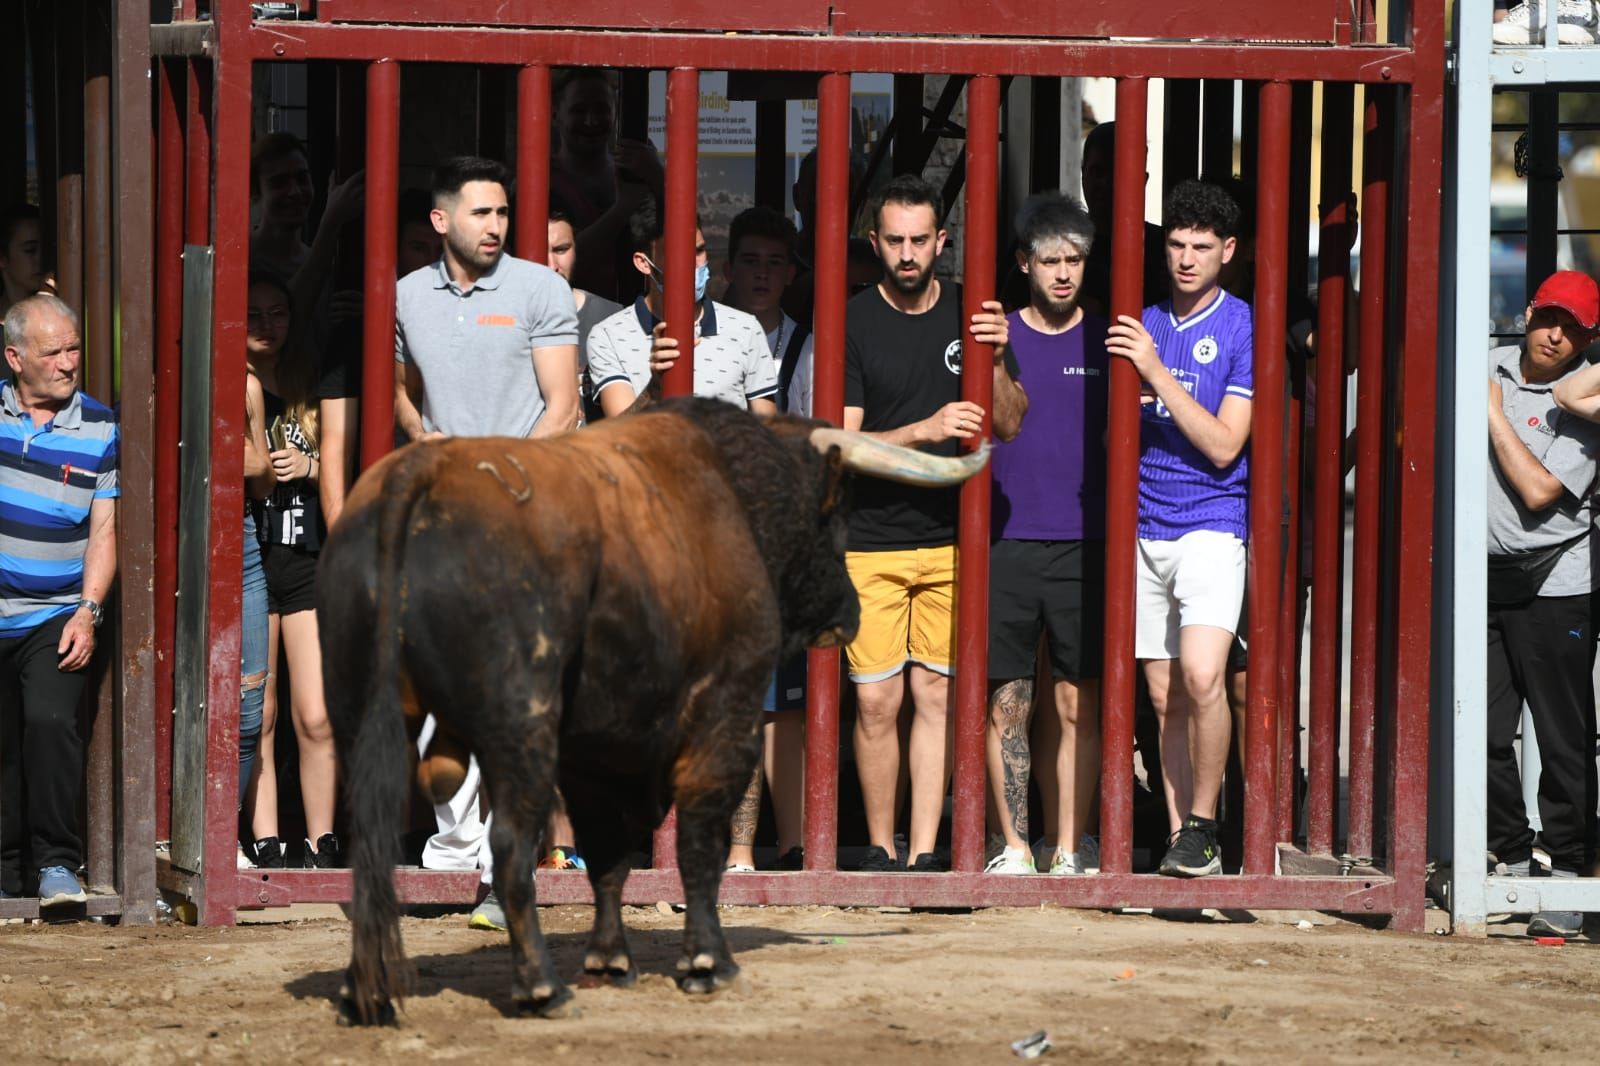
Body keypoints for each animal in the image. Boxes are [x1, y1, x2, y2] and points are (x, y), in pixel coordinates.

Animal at [318, 396, 979, 1024]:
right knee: (507, 847)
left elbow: (609, 858)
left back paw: (364, 992)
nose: (849, 612)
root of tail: (421, 471)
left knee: (372, 844)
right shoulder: (724, 715)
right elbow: (699, 844)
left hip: (364, 721)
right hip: (521, 728)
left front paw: (610, 961)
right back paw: (540, 987)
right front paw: (708, 961)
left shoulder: (599, 752)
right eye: (835, 519)